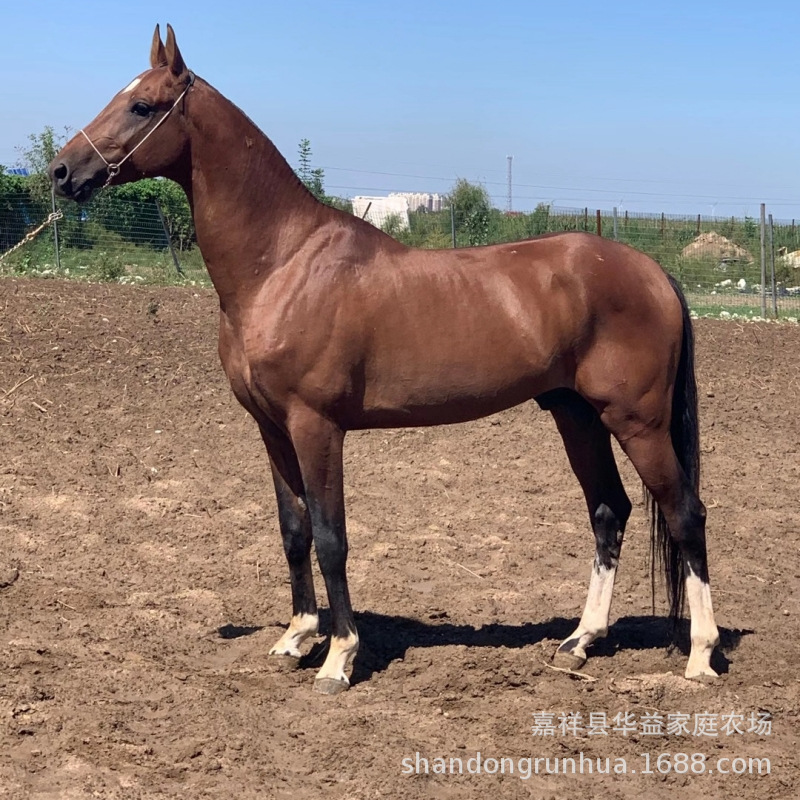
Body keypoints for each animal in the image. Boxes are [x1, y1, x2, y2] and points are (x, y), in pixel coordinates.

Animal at [50, 24, 720, 694]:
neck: (283, 263)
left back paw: (700, 655)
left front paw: (339, 658)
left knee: (685, 514)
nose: (61, 171)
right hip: (576, 415)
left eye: (141, 106)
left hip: (637, 422)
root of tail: (653, 272)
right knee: (609, 511)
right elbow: (293, 530)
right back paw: (580, 641)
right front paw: (297, 638)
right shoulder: (271, 428)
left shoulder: (316, 427)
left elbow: (330, 537)